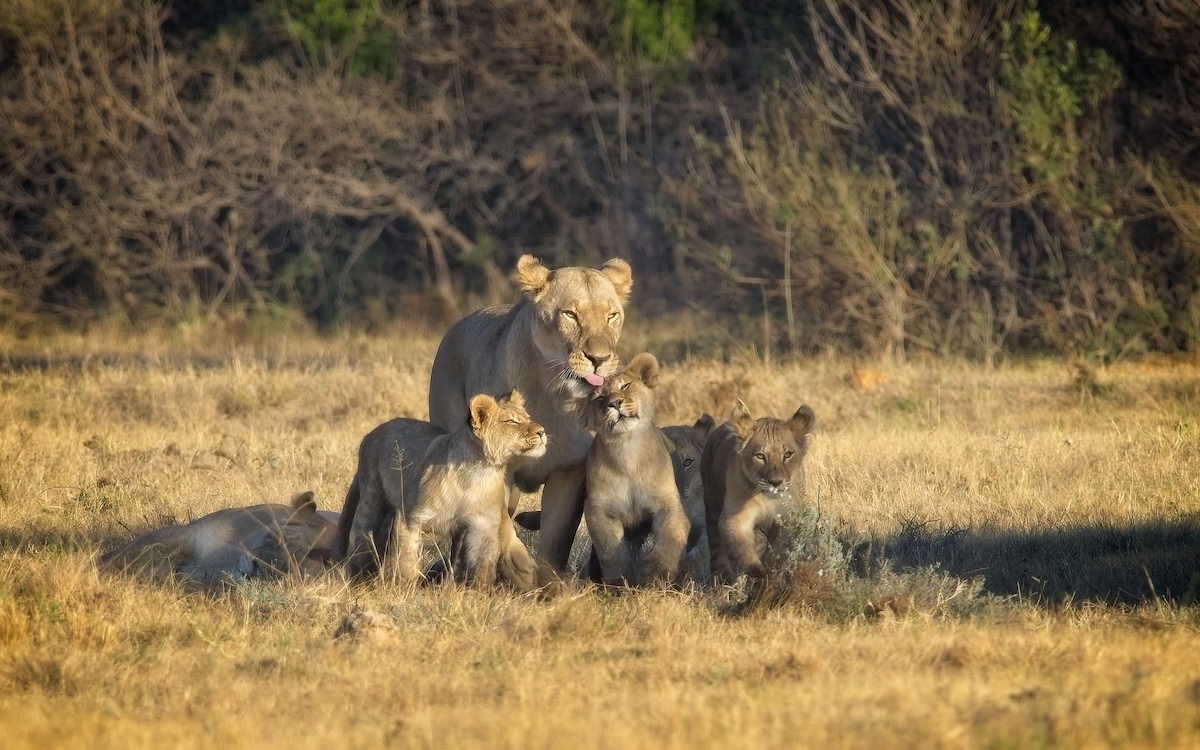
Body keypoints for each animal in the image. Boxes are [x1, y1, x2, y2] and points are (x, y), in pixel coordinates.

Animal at [333, 391, 547, 589]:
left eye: (528, 417)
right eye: (511, 421)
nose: (542, 431)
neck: (479, 473)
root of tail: (371, 433)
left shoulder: (483, 526)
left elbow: (482, 565)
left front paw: (478, 593)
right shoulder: (410, 516)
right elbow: (407, 558)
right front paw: (406, 589)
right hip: (371, 501)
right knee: (360, 539)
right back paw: (357, 580)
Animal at [427, 254, 632, 584]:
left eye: (612, 316)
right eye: (570, 315)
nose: (599, 359)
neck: (552, 394)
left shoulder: (570, 470)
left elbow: (556, 538)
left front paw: (549, 584)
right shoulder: (498, 469)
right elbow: (501, 528)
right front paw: (518, 569)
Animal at [582, 352, 690, 586]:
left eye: (625, 386)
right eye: (600, 398)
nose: (615, 403)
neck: (628, 452)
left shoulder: (668, 504)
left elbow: (670, 537)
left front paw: (656, 575)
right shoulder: (598, 510)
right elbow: (610, 551)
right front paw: (619, 583)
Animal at [702, 402, 816, 583]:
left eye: (787, 455)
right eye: (760, 456)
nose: (775, 482)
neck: (768, 498)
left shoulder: (787, 518)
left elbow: (777, 550)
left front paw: (773, 572)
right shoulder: (736, 515)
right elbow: (742, 547)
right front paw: (758, 571)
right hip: (711, 502)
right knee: (717, 548)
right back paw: (723, 578)